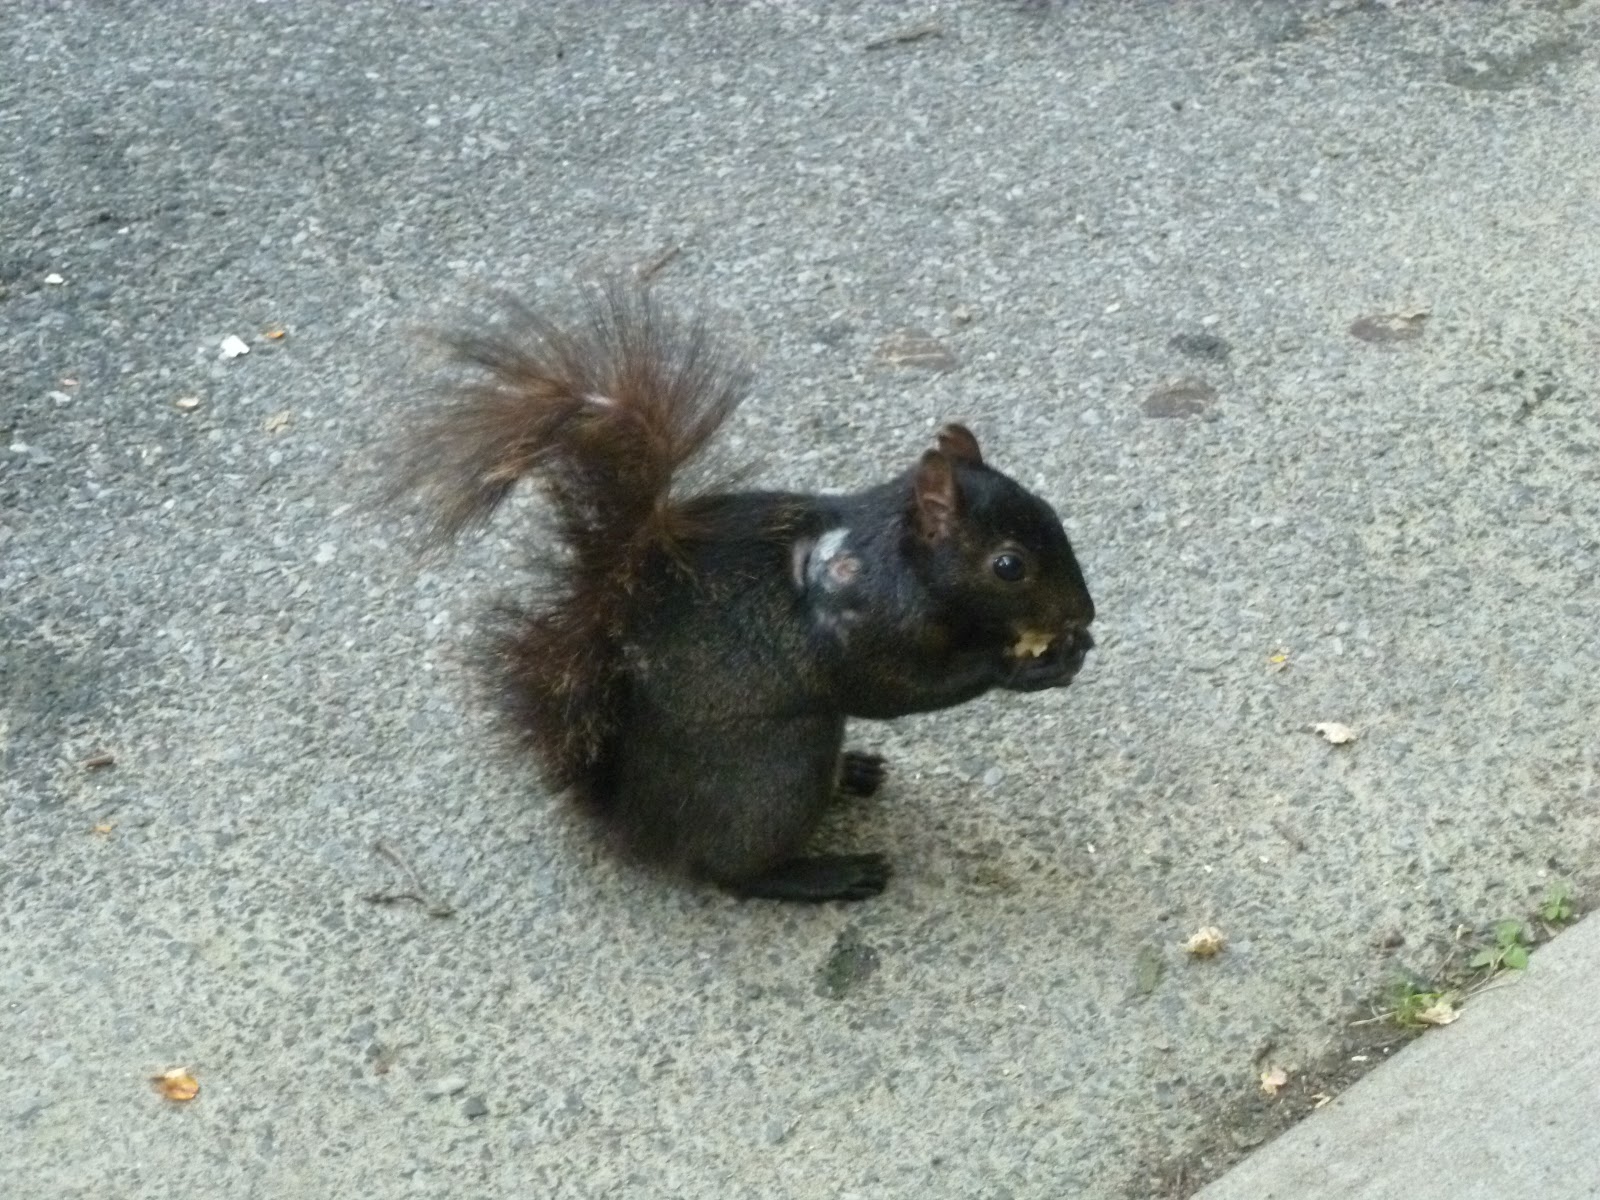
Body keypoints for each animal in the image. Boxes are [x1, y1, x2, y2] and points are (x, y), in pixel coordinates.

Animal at [388, 284, 1095, 903]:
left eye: (1050, 510)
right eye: (1009, 566)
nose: (1084, 611)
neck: (894, 560)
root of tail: (634, 821)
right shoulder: (860, 628)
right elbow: (897, 689)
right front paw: (1020, 666)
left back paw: (853, 773)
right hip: (776, 772)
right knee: (732, 873)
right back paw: (821, 875)